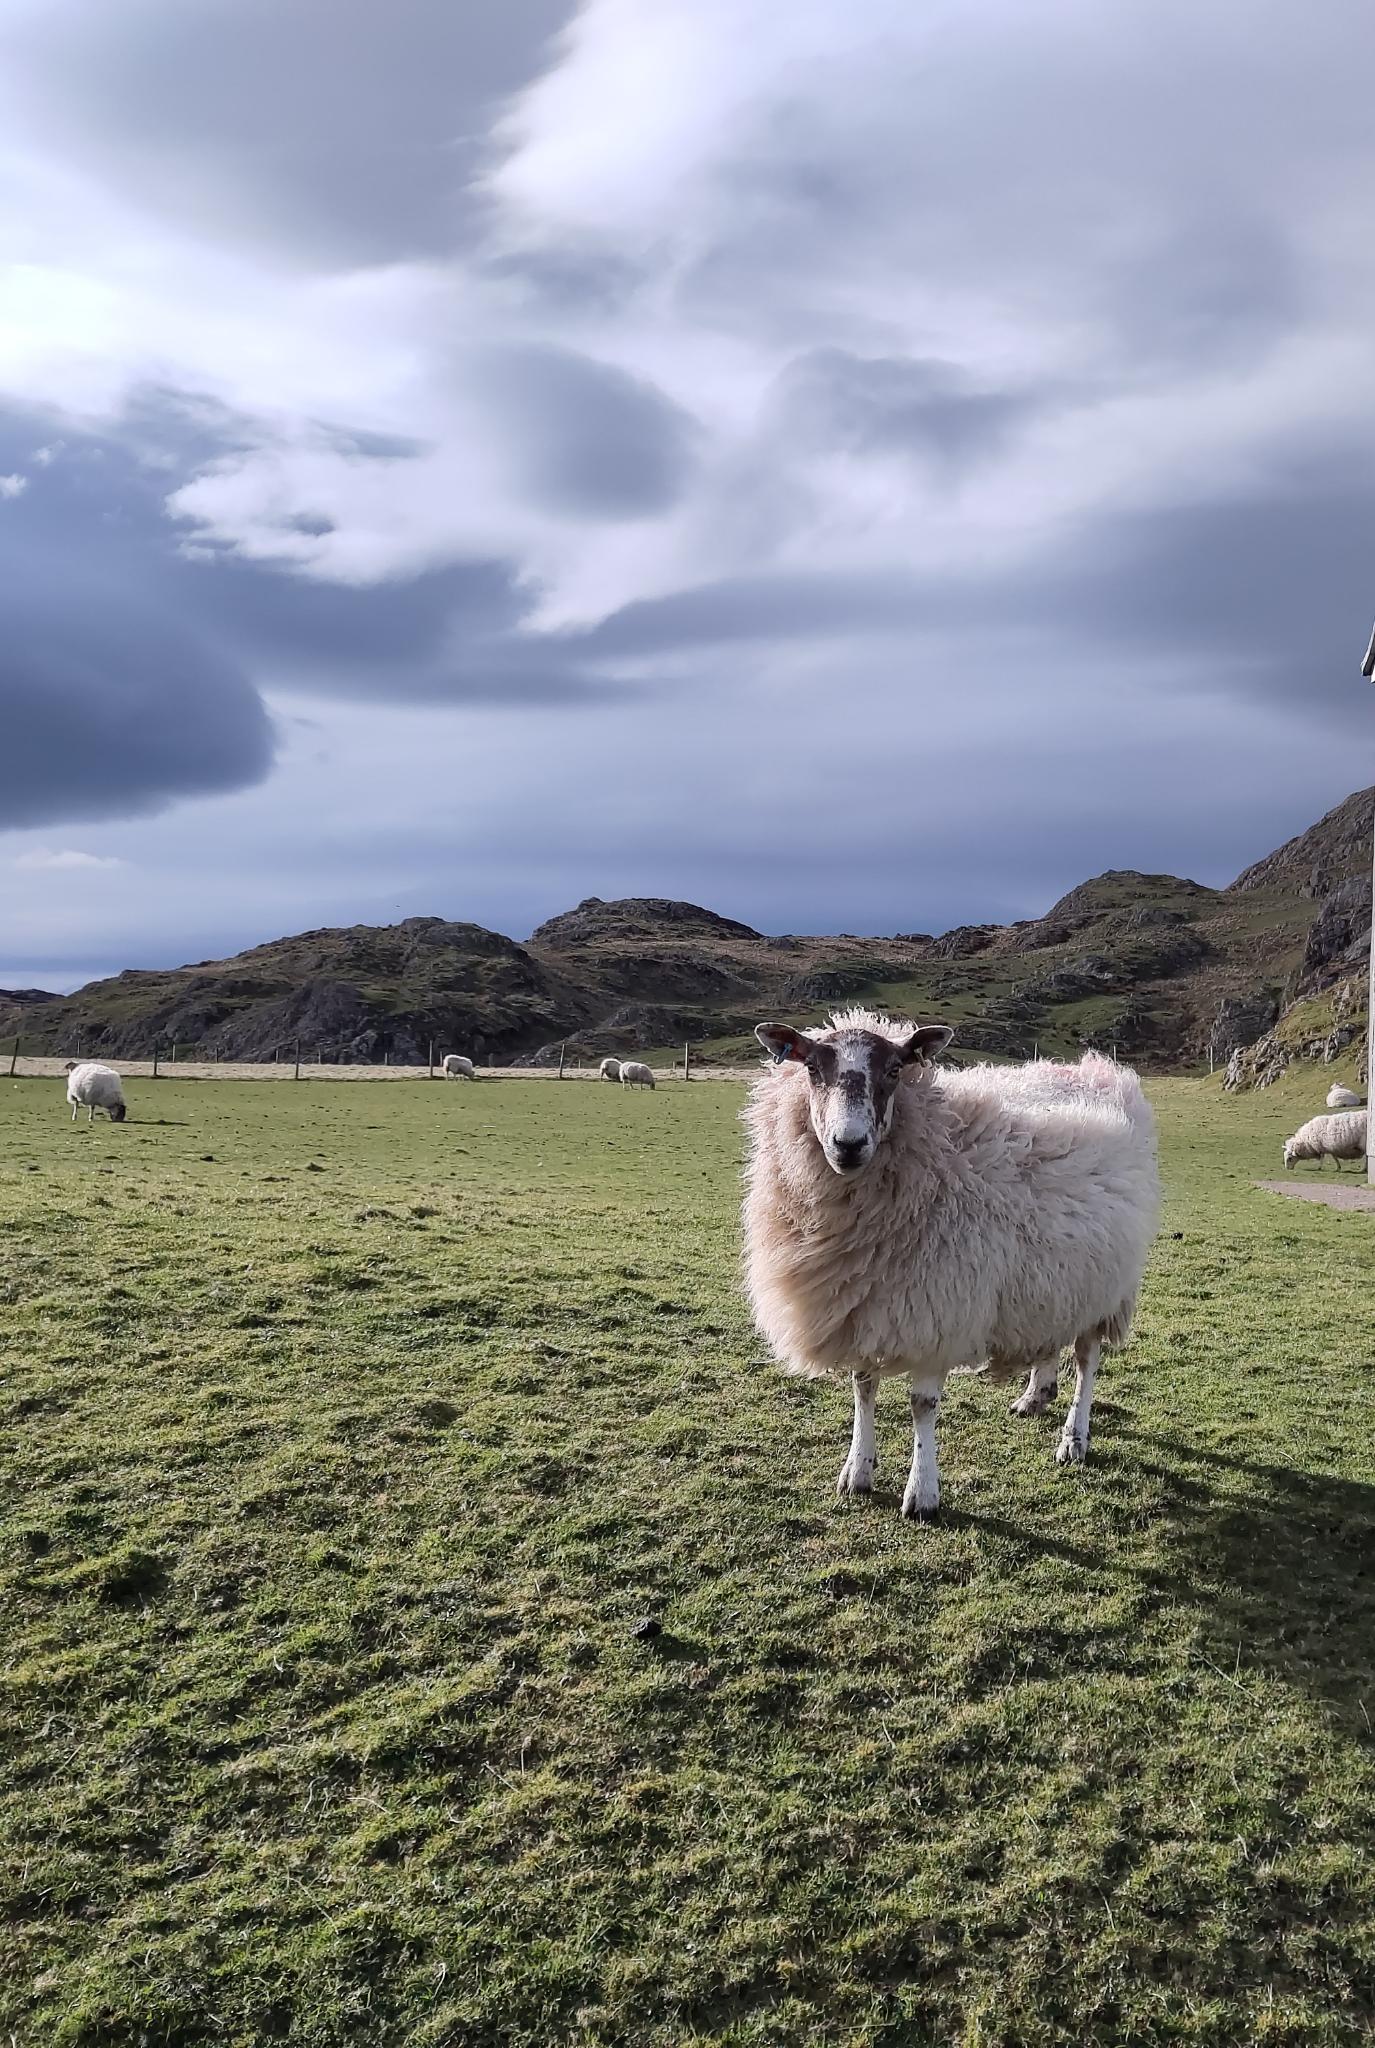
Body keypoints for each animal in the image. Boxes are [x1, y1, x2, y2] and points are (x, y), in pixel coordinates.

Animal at [741, 1011, 1163, 1523]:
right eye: (812, 1069)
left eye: (895, 1070)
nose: (848, 1145)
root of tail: (1097, 1069)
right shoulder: (862, 1303)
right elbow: (863, 1387)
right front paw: (857, 1471)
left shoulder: (936, 1309)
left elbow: (921, 1405)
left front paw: (922, 1492)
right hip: (1053, 1278)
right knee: (1050, 1336)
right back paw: (1035, 1395)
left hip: (1105, 1286)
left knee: (1087, 1360)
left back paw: (1074, 1439)